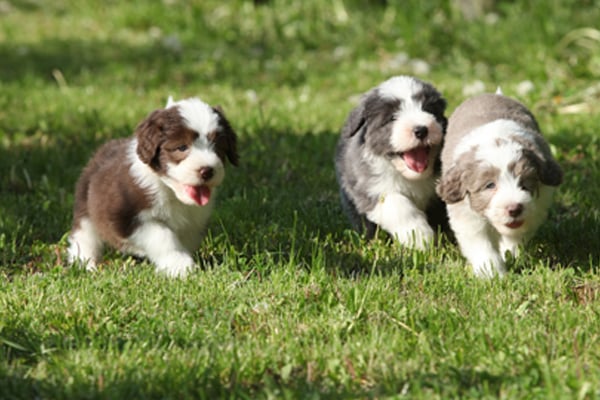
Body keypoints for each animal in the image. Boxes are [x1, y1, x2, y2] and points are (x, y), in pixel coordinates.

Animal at [68, 97, 239, 278]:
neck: (169, 191)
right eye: (182, 147)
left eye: (218, 147)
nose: (207, 171)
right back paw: (84, 264)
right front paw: (180, 266)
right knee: (84, 237)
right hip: (85, 205)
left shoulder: (194, 222)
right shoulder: (126, 217)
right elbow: (163, 235)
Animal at [336, 76, 448, 248]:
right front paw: (420, 239)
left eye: (428, 110)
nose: (421, 130)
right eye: (392, 118)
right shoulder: (372, 187)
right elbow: (399, 205)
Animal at [436, 92, 564, 276]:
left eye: (524, 182)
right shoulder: (466, 215)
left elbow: (516, 237)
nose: (514, 209)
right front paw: (492, 274)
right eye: (490, 185)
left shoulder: (536, 208)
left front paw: (509, 256)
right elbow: (481, 245)